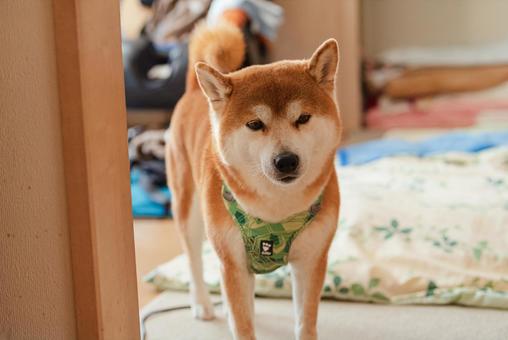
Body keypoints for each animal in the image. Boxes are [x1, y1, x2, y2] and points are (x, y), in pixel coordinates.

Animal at [167, 20, 342, 340]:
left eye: (303, 118)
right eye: (254, 124)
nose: (286, 160)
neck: (276, 210)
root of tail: (194, 92)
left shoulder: (311, 261)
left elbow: (305, 321)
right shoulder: (233, 263)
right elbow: (243, 326)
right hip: (189, 211)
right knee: (193, 261)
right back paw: (202, 304)